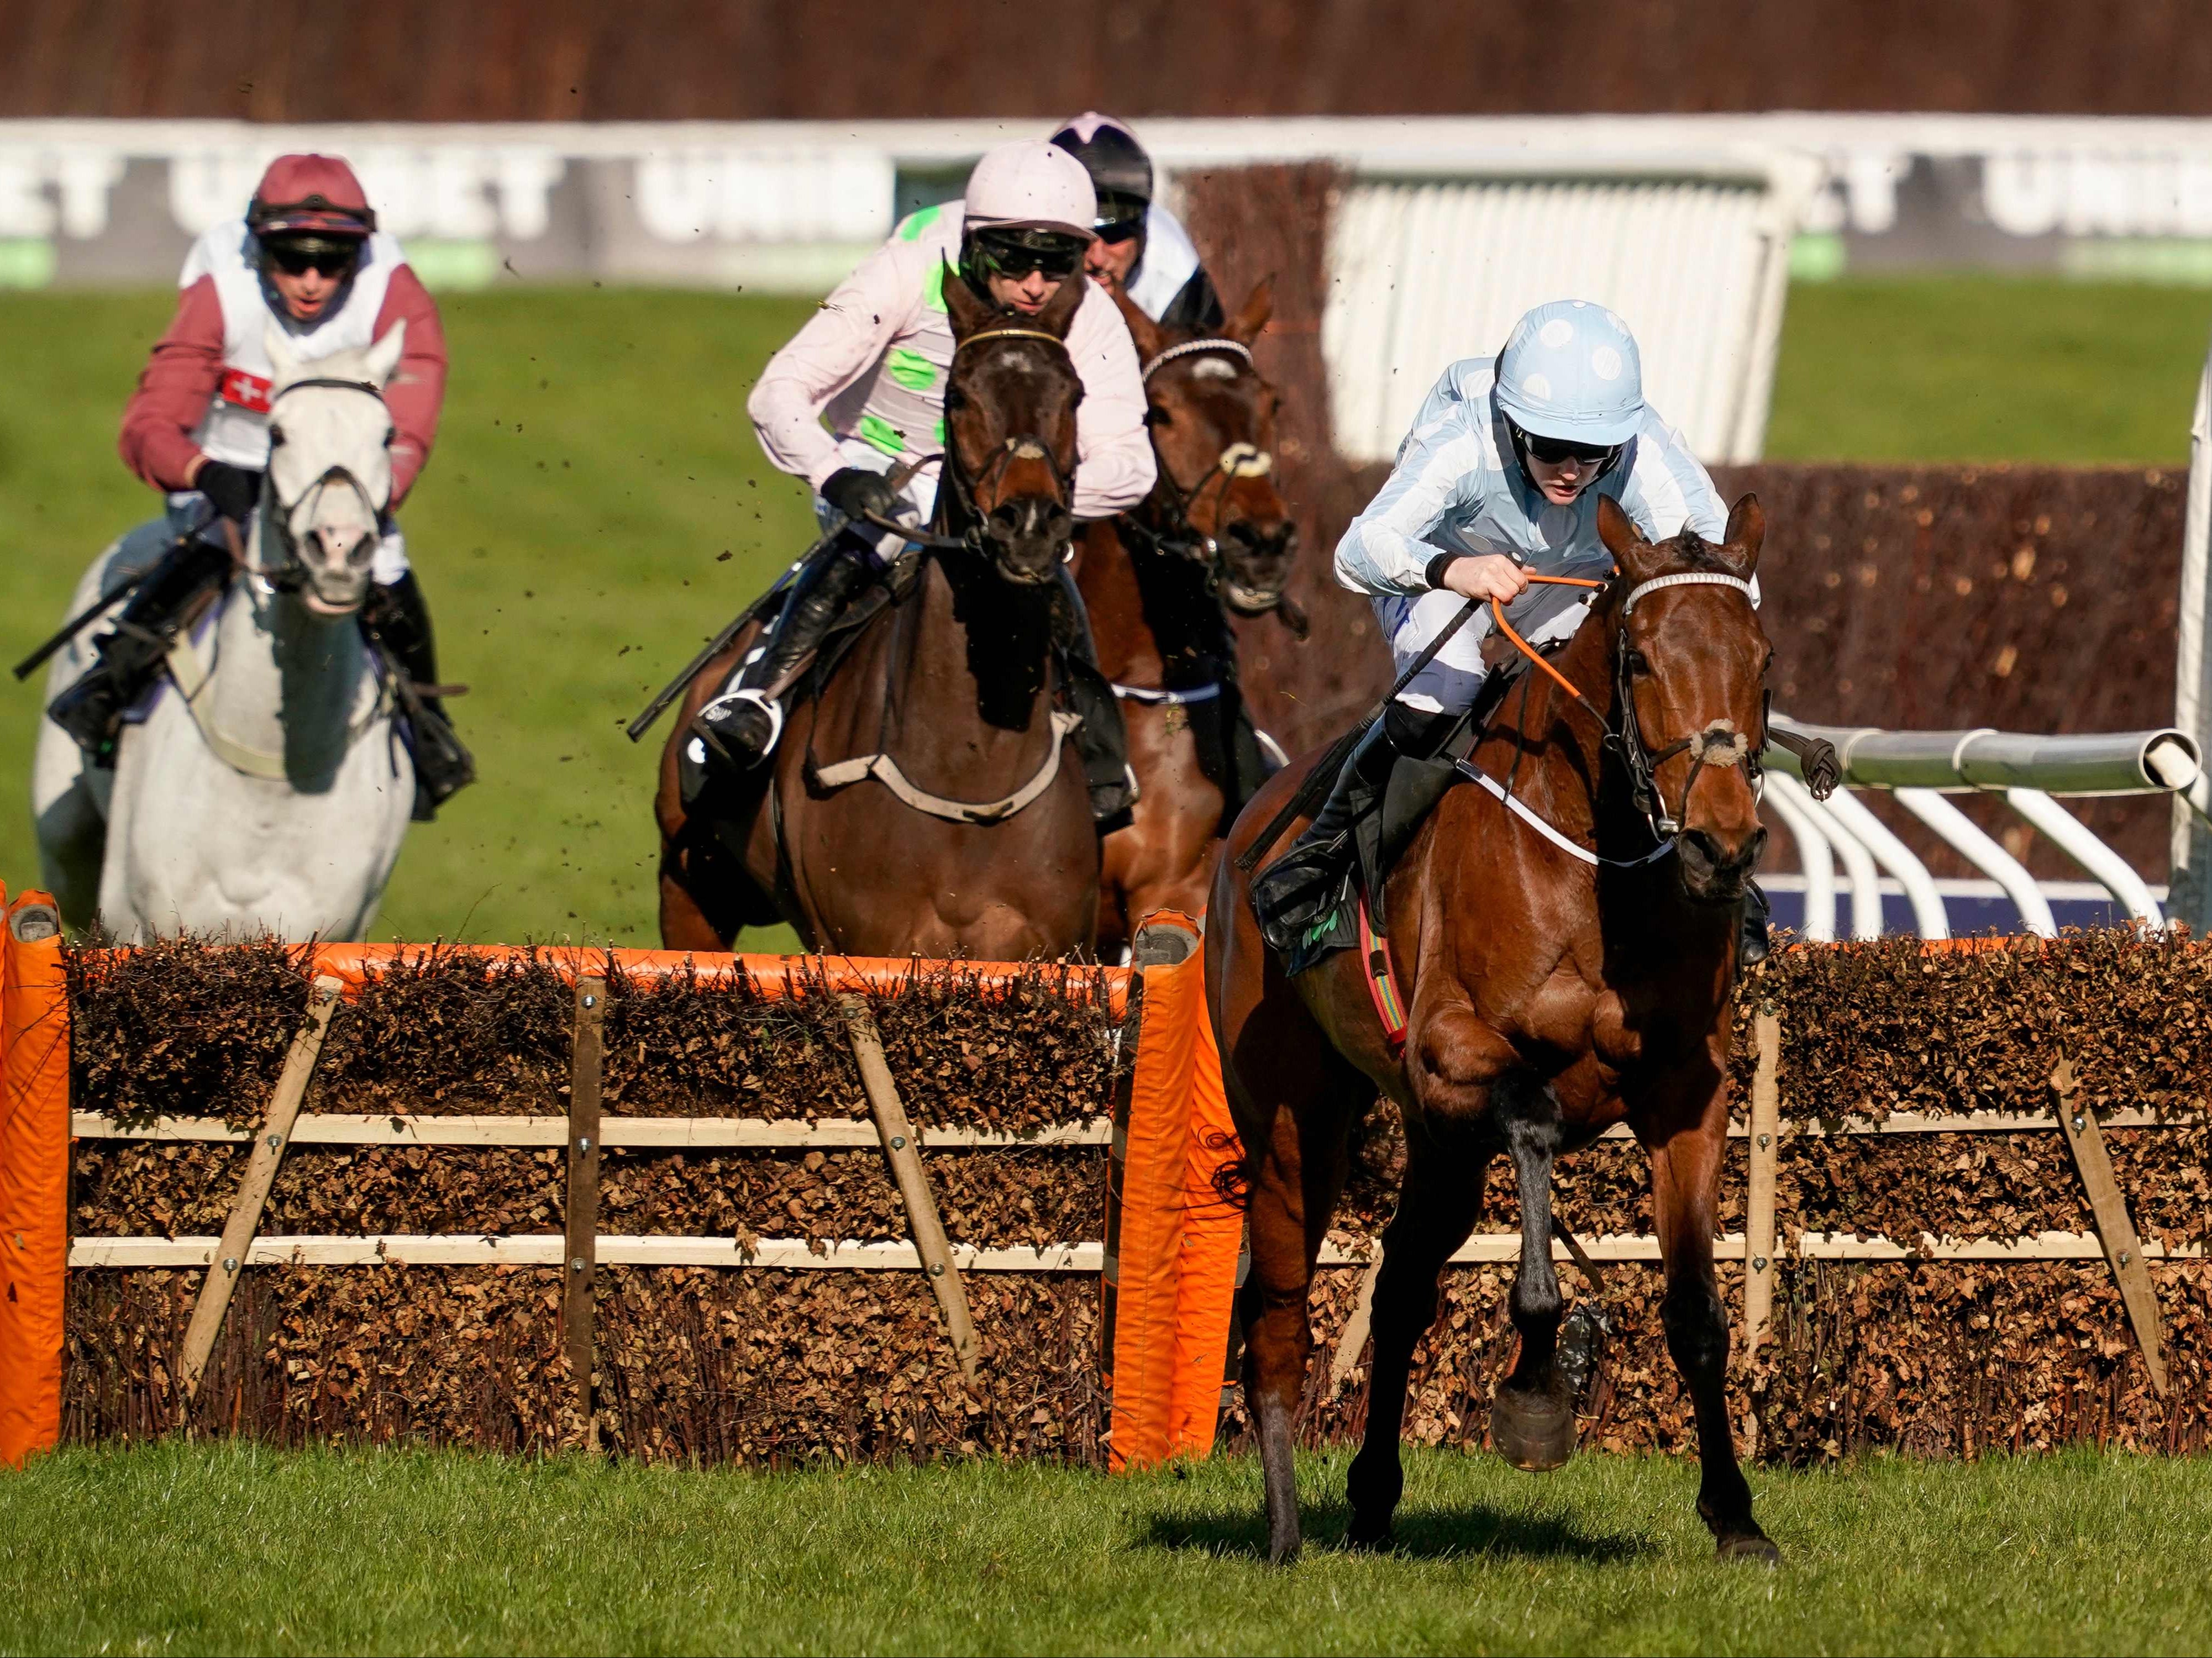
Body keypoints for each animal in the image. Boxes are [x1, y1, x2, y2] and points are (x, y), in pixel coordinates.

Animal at [35, 325, 418, 941]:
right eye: (279, 433)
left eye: (387, 435)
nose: (338, 549)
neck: (269, 778)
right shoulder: (137, 922)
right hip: (67, 847)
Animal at [654, 273, 1106, 959]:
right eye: (957, 395)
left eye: (1075, 394)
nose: (1028, 524)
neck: (969, 774)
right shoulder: (857, 945)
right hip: (693, 893)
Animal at [1212, 497, 1778, 1573]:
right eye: (1639, 659)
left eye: (1762, 660)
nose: (1718, 845)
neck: (1599, 869)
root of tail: (1245, 828)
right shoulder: (1450, 1053)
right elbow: (1534, 1125)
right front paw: (1534, 1399)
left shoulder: (1686, 1096)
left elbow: (1695, 1310)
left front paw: (1735, 1515)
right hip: (1294, 1116)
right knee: (1277, 1306)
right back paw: (1280, 1526)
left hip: (1435, 1146)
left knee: (1398, 1285)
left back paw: (1371, 1499)